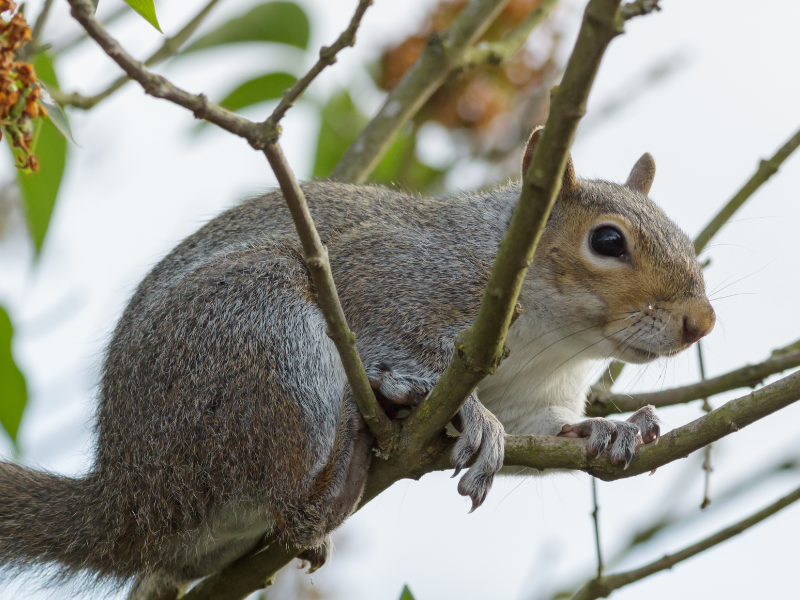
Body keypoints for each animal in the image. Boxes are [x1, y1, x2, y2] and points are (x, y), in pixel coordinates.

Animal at [0, 127, 714, 599]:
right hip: (259, 334)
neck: (552, 340)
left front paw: (605, 428)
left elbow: (540, 433)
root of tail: (127, 491)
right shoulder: (390, 280)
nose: (701, 323)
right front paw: (459, 409)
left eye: (683, 233)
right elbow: (396, 343)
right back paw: (345, 461)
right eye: (608, 241)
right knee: (292, 502)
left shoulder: (535, 396)